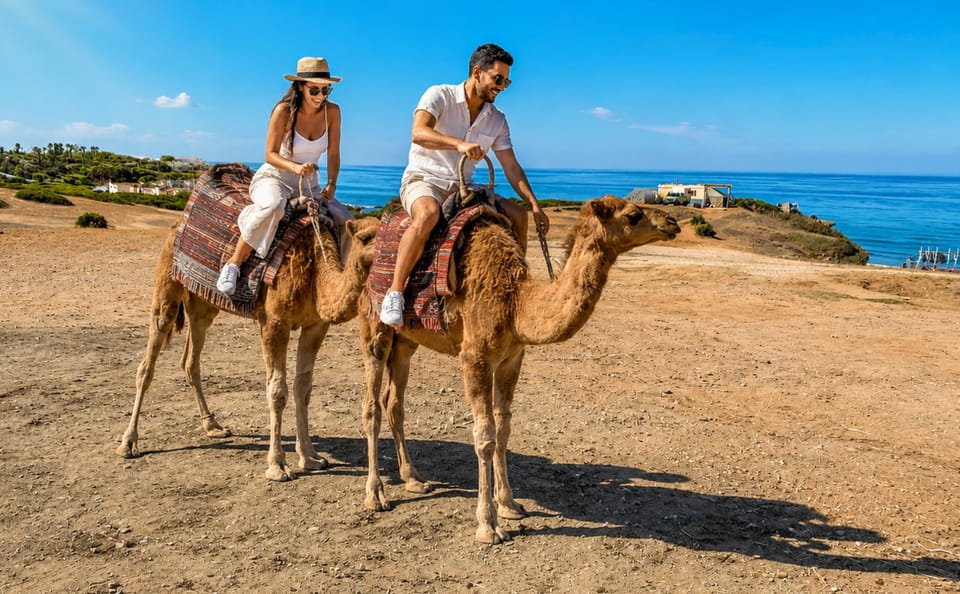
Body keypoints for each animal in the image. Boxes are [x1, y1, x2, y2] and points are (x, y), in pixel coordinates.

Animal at [117, 215, 380, 482]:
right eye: (365, 237)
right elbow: (277, 391)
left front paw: (310, 457)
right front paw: (278, 466)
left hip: (202, 304)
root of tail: (176, 225)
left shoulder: (315, 326)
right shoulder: (274, 323)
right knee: (148, 360)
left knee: (190, 360)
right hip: (168, 285)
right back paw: (128, 443)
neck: (315, 274)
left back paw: (213, 426)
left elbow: (303, 389)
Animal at [358, 196, 680, 543]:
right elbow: (484, 436)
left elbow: (503, 429)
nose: (673, 222)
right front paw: (488, 525)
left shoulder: (512, 357)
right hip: (375, 328)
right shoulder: (474, 357)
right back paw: (375, 495)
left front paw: (510, 505)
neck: (515, 303)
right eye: (633, 215)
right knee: (372, 407)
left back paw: (414, 479)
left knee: (394, 403)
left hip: (406, 341)